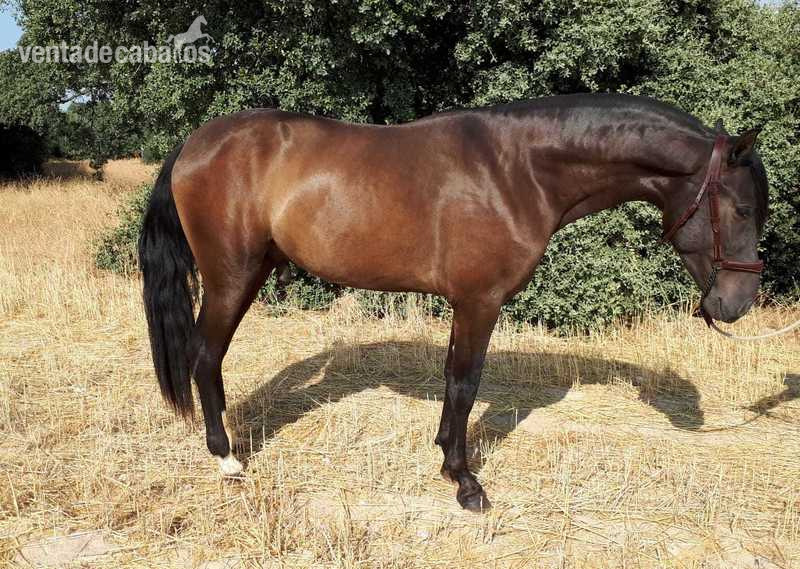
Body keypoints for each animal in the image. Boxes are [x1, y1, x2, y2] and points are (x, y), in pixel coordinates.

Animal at [138, 93, 768, 512]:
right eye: (741, 209)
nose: (735, 305)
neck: (517, 170)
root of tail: (196, 142)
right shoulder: (479, 302)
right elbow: (466, 384)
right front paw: (466, 483)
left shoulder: (466, 306)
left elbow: (452, 381)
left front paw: (445, 456)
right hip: (231, 278)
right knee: (205, 358)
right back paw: (226, 459)